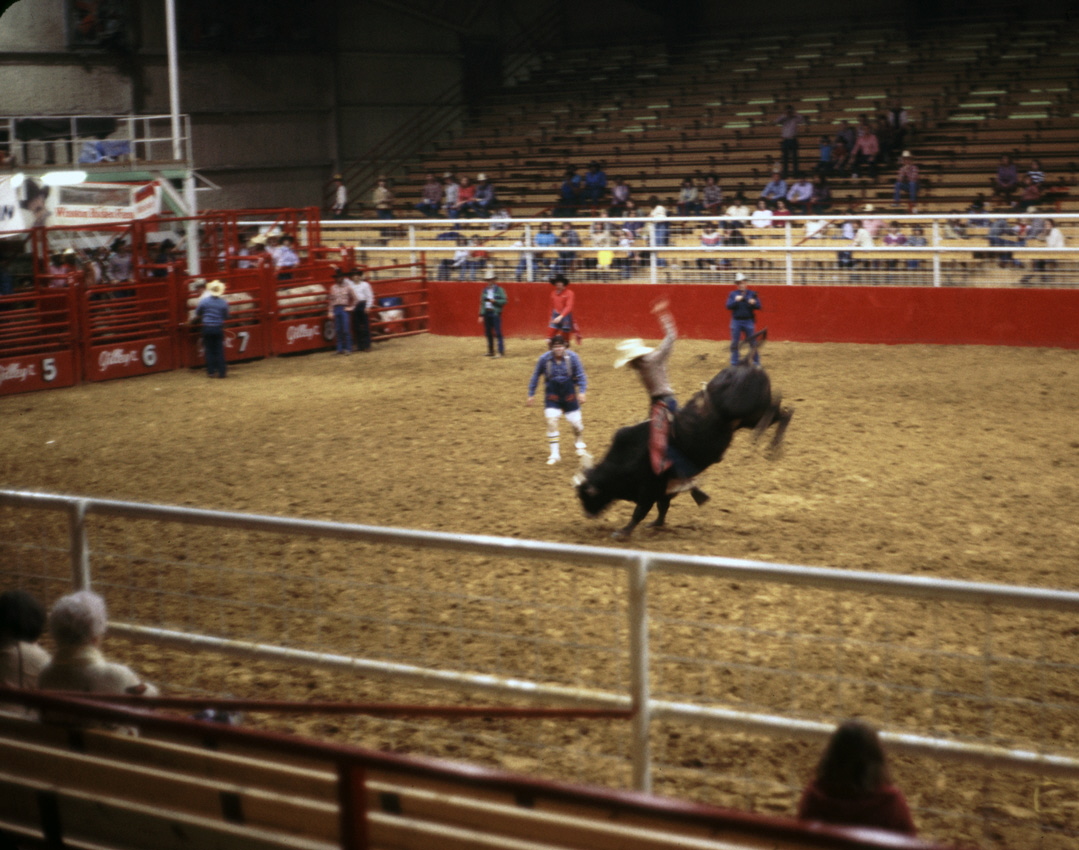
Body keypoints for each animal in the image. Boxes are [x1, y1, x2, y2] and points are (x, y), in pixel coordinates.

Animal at [574, 334, 794, 537]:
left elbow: (640, 511)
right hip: (748, 419)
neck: (626, 459)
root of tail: (745, 362)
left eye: (587, 495)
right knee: (785, 412)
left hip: (749, 409)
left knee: (776, 405)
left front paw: (623, 532)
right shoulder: (665, 489)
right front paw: (657, 524)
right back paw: (771, 445)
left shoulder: (650, 488)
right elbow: (663, 507)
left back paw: (761, 436)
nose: (586, 514)